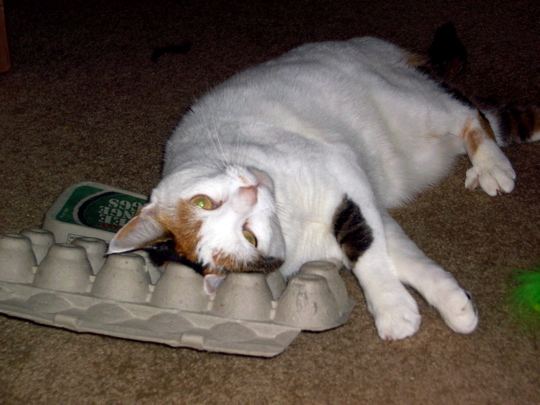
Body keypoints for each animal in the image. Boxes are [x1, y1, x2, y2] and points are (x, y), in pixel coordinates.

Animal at [107, 25, 536, 340]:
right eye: (250, 238)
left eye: (202, 202)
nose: (250, 192)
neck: (290, 210)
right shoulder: (365, 207)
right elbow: (398, 255)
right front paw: (454, 306)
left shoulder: (341, 174)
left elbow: (365, 251)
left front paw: (392, 309)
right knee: (489, 119)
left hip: (411, 103)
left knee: (470, 113)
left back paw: (492, 165)